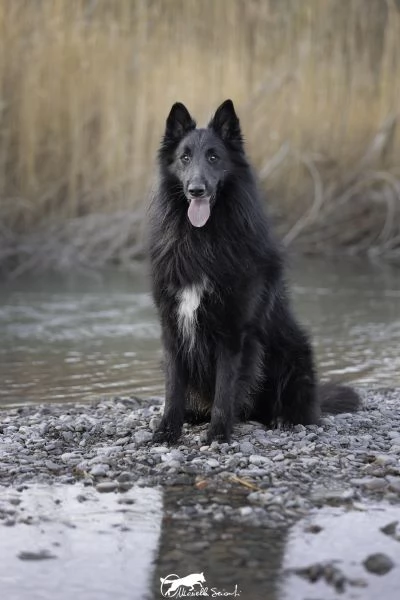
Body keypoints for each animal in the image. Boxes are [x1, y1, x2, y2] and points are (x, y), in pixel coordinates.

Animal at [147, 99, 360, 446]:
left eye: (214, 157)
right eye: (184, 158)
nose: (196, 190)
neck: (202, 239)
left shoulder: (234, 332)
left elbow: (225, 389)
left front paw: (218, 434)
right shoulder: (173, 327)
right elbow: (173, 388)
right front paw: (167, 430)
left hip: (294, 353)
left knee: (296, 407)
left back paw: (283, 419)